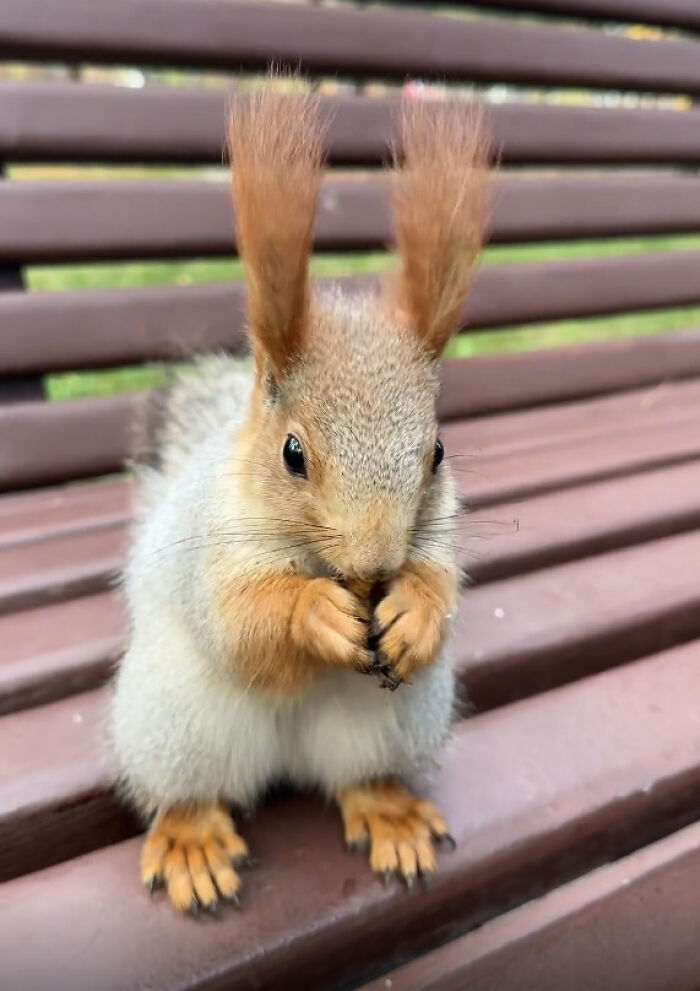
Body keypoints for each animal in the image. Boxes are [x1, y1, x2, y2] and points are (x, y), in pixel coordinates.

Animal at [110, 81, 489, 915]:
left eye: (437, 452)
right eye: (292, 454)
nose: (376, 563)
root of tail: (286, 758)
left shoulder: (440, 534)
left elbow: (440, 583)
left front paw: (415, 608)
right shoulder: (212, 550)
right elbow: (241, 621)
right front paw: (311, 611)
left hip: (393, 720)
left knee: (358, 776)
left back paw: (388, 812)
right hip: (173, 718)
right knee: (188, 788)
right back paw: (190, 838)